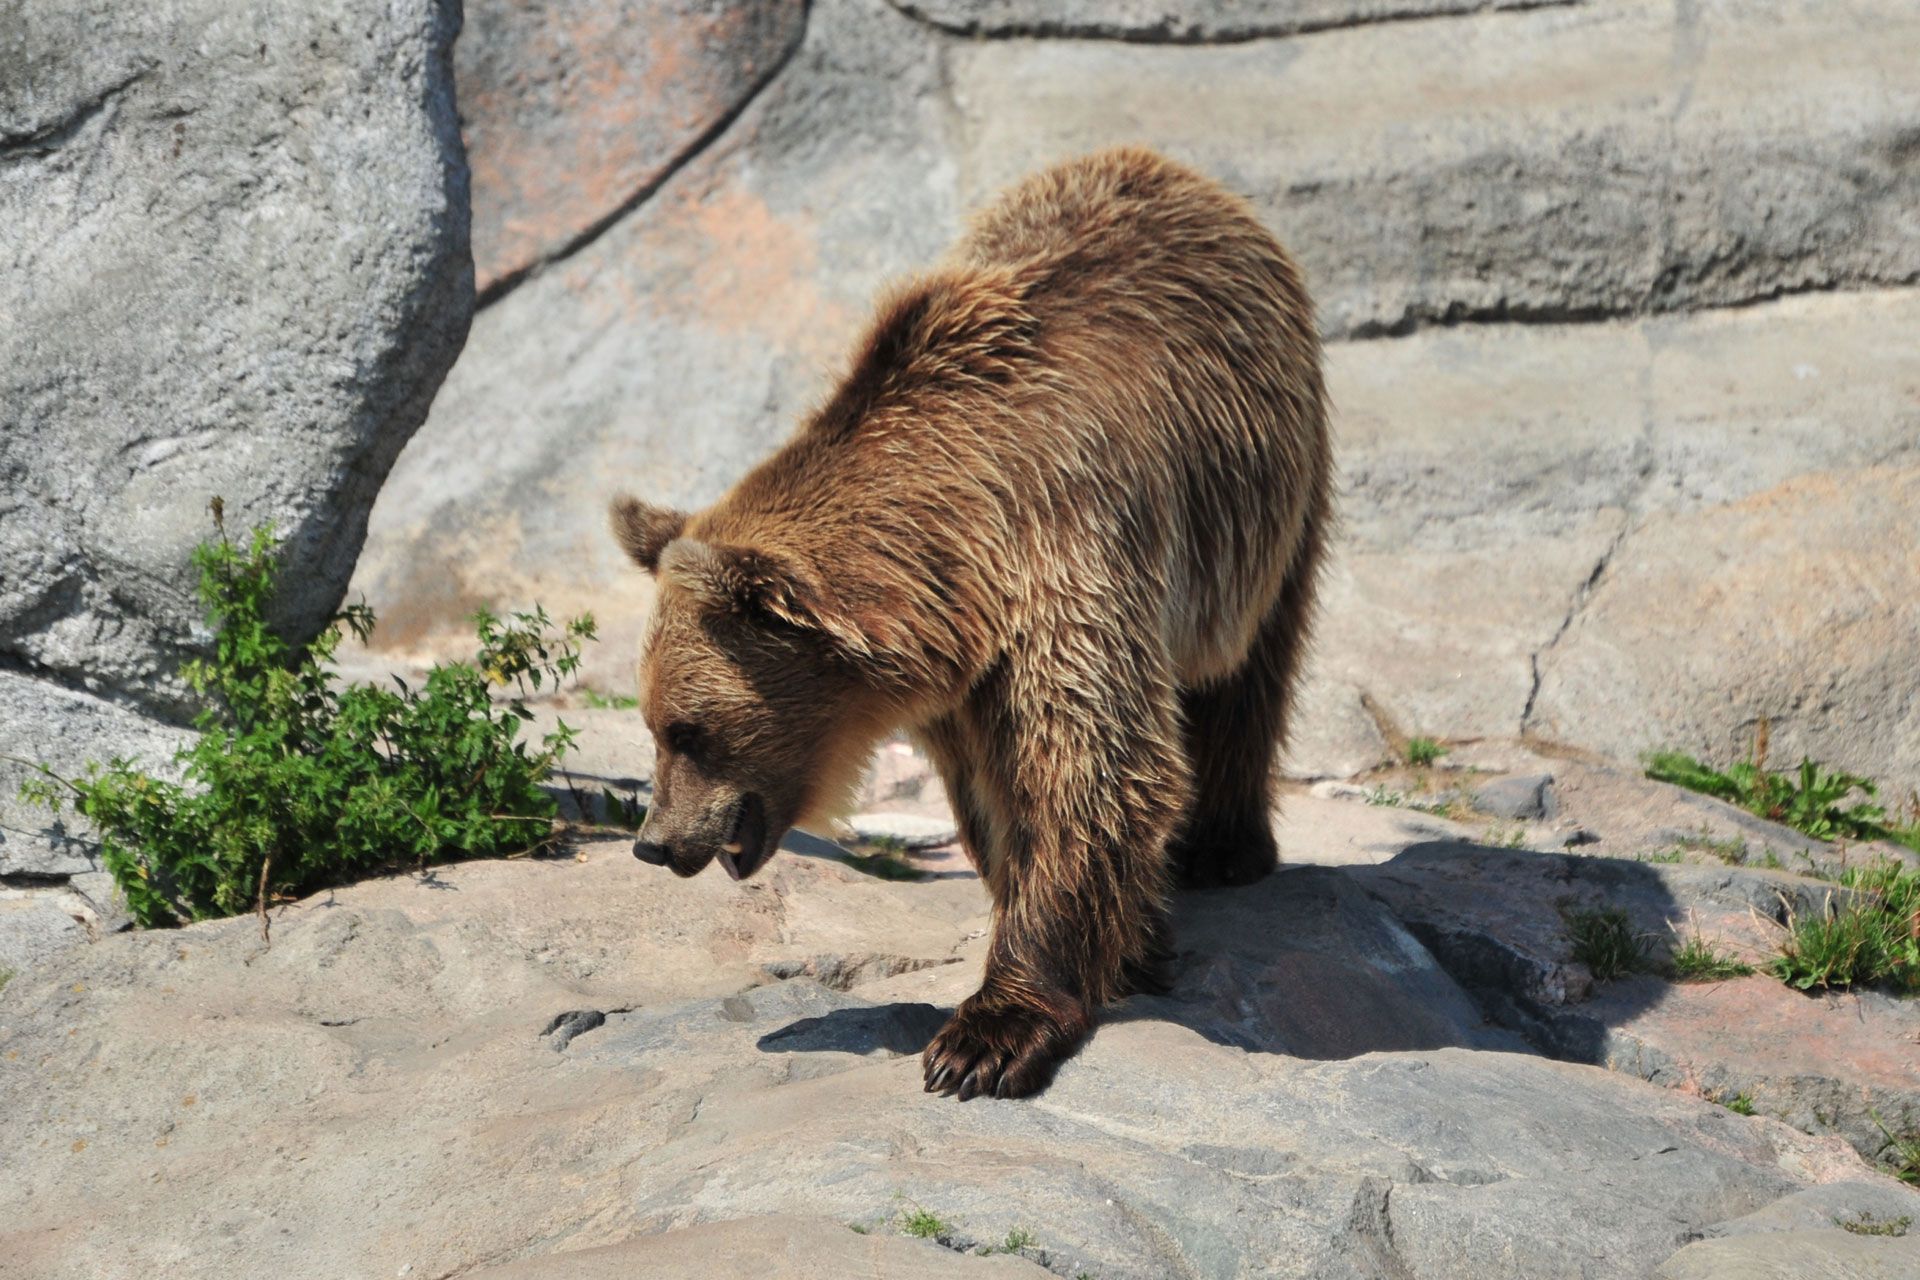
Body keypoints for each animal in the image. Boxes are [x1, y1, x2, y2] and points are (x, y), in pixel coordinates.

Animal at [611, 146, 1332, 1101]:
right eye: (654, 725)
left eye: (687, 730)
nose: (654, 844)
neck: (957, 555)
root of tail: (1166, 166)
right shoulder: (964, 673)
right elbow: (998, 799)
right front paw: (1128, 941)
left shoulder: (1066, 549)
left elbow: (1086, 766)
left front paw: (985, 1038)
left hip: (1267, 487)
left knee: (1249, 668)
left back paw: (1224, 846)